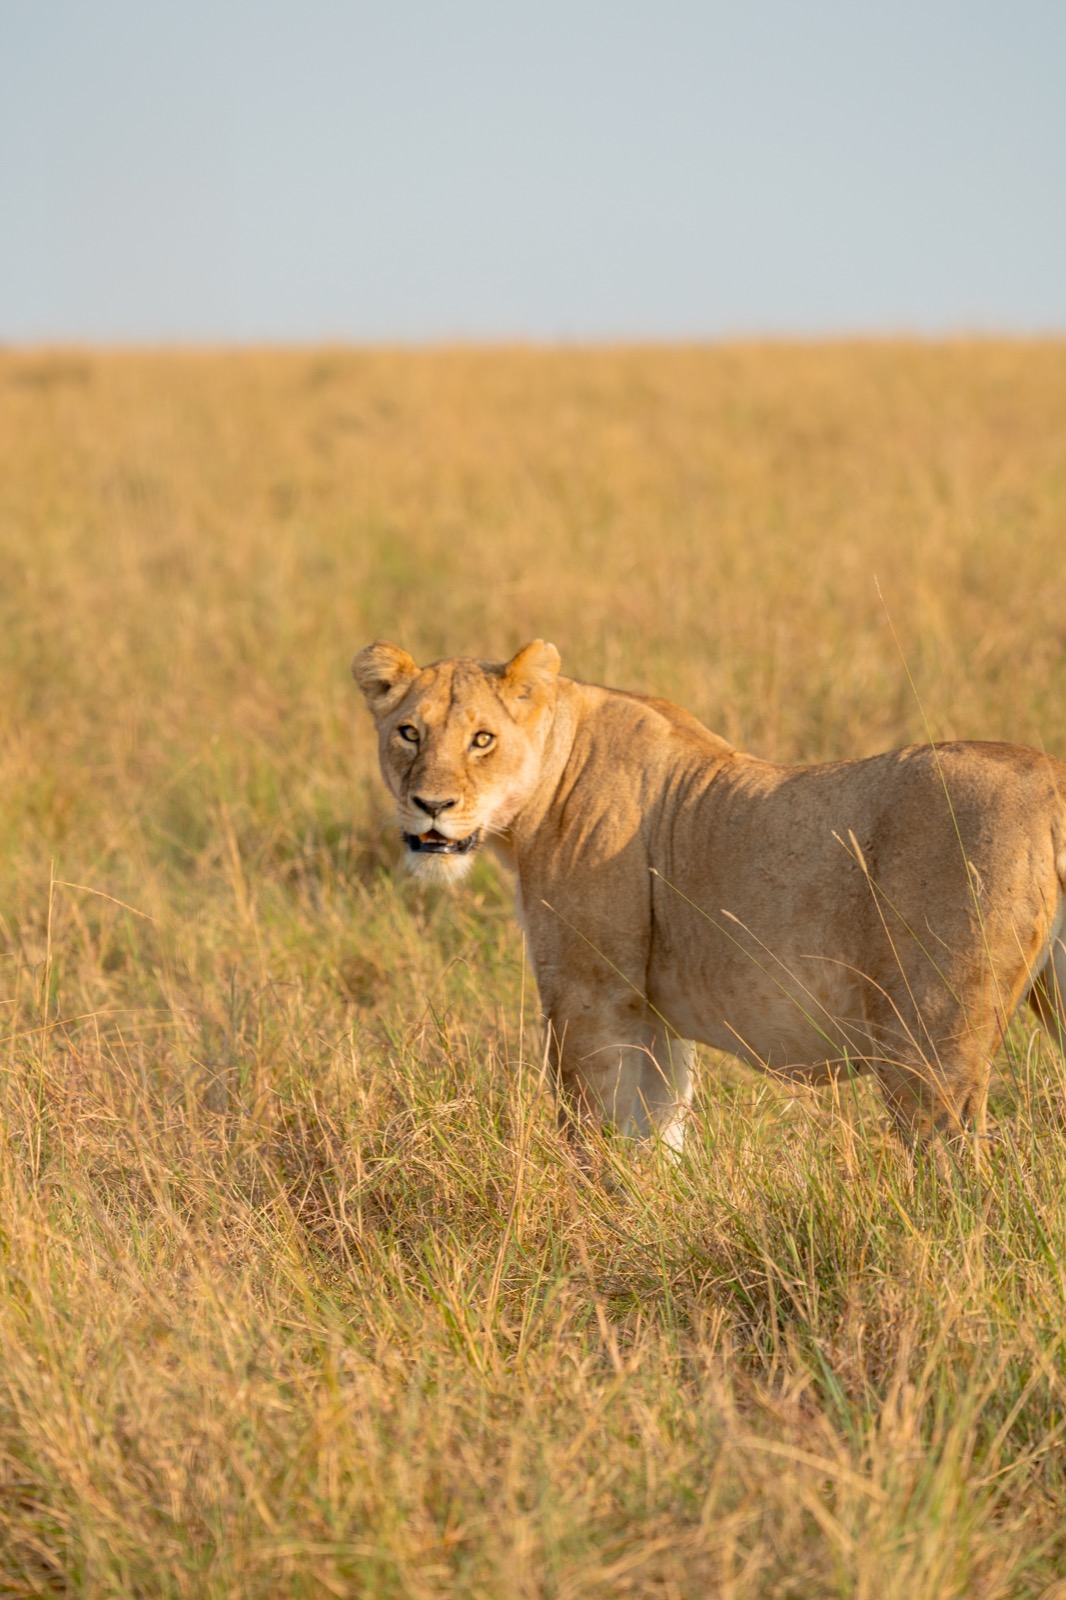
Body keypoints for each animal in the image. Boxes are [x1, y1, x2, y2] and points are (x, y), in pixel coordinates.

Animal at [353, 638, 1066, 1161]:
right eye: (409, 733)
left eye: (482, 739)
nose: (431, 805)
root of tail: (1051, 777)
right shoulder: (653, 1014)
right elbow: (655, 1130)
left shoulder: (590, 995)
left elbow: (591, 1130)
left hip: (928, 1033)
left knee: (955, 1161)